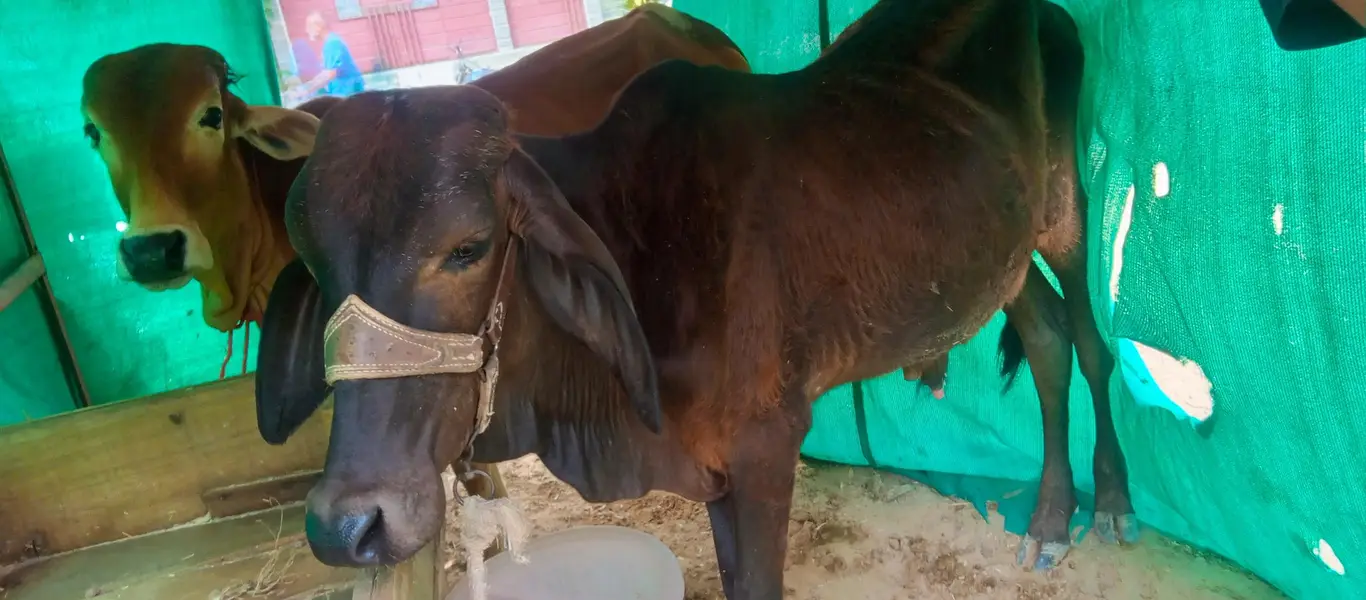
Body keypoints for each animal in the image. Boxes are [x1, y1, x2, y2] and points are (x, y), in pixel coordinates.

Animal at [259, 0, 1077, 597]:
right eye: (315, 263)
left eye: (468, 247)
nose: (348, 525)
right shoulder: (714, 469)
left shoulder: (765, 446)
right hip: (1003, 253)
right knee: (1044, 328)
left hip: (1065, 217)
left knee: (1084, 340)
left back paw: (1073, 515)